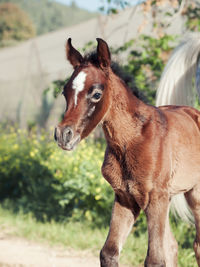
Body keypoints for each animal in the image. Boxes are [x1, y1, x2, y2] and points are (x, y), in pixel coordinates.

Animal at [54, 36, 200, 267]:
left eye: (96, 94)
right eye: (65, 92)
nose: (63, 135)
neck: (132, 141)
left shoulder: (155, 198)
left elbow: (154, 259)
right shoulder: (125, 197)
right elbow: (109, 252)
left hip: (194, 193)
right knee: (172, 245)